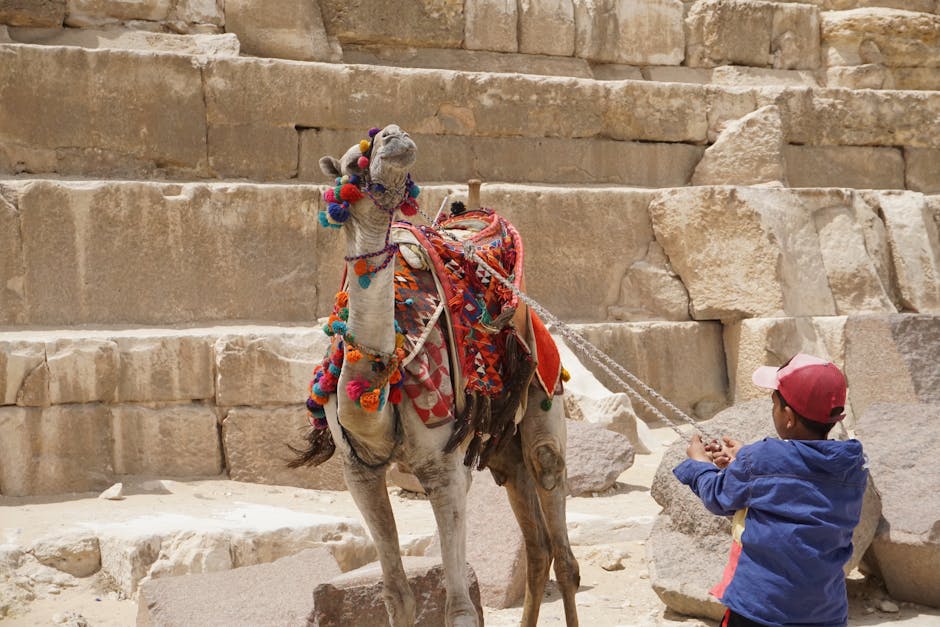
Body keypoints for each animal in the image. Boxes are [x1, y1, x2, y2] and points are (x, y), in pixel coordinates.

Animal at [291, 124, 580, 627]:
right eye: (350, 165)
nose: (394, 136)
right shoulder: (357, 471)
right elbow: (396, 595)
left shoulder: (444, 468)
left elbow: (459, 606)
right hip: (502, 447)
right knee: (538, 546)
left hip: (545, 394)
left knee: (560, 536)